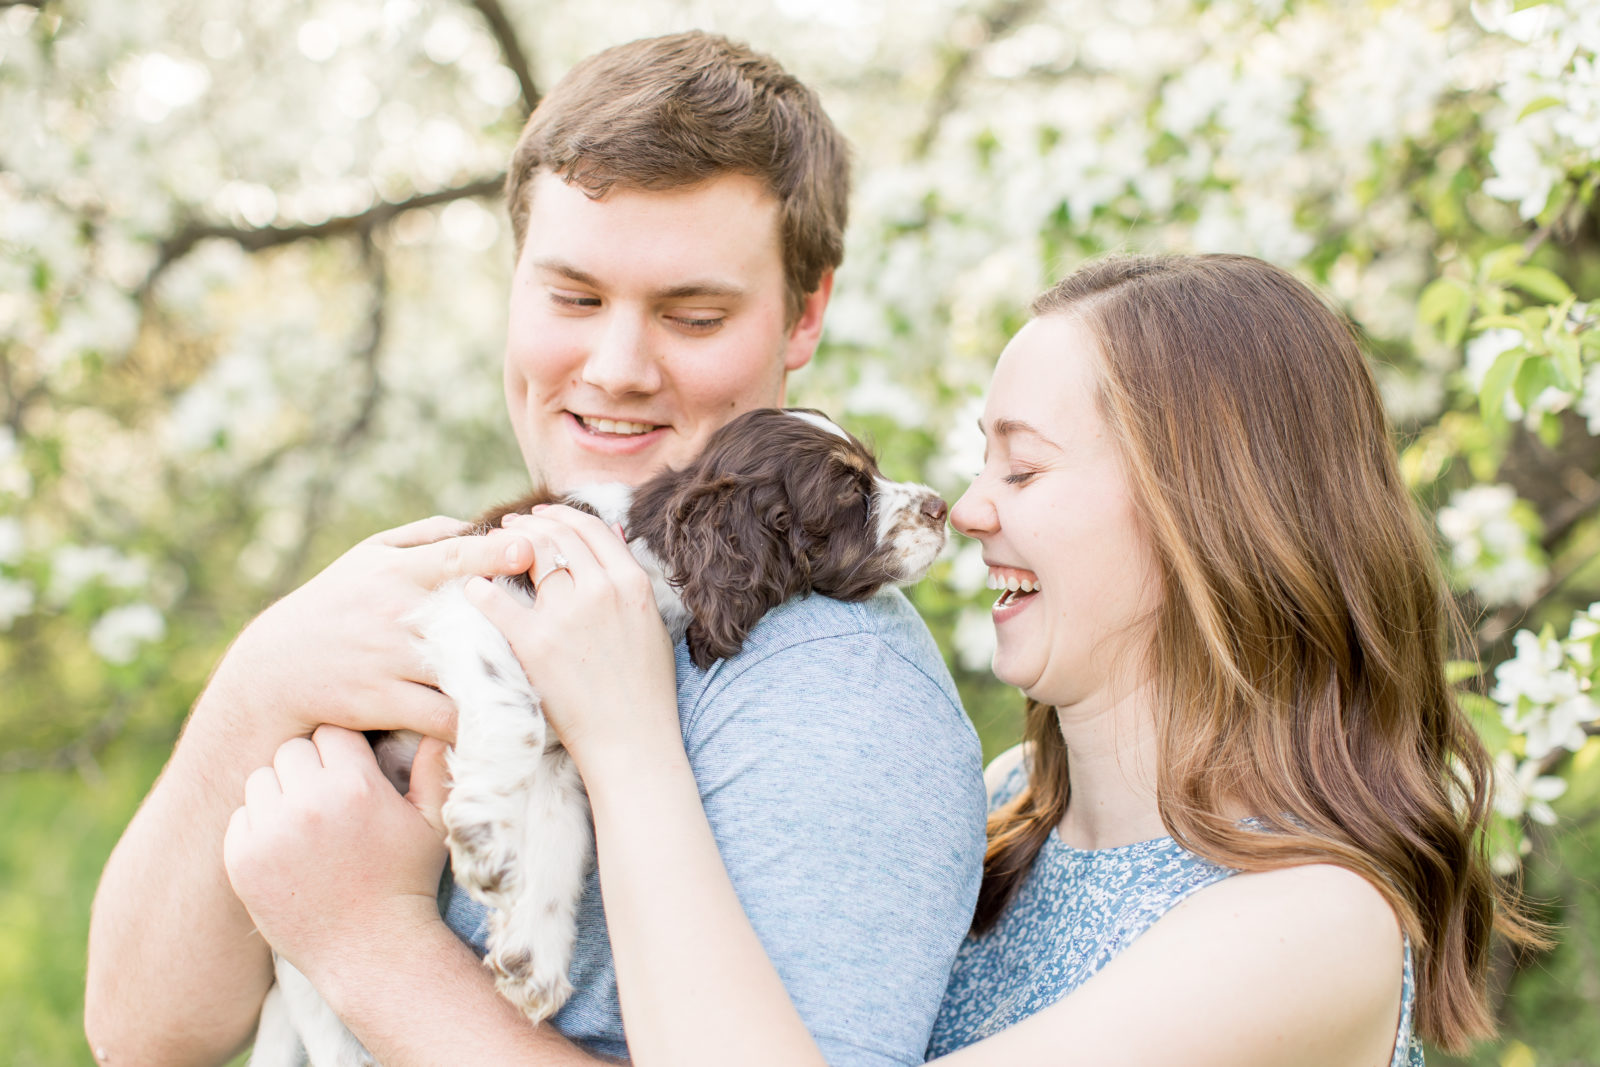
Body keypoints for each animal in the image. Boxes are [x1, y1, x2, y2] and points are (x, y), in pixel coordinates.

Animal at [251, 404, 947, 1062]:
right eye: (849, 490)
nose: (941, 508)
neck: (646, 554)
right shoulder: (469, 600)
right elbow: (514, 712)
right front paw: (483, 835)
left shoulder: (563, 754)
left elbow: (559, 837)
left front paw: (530, 955)